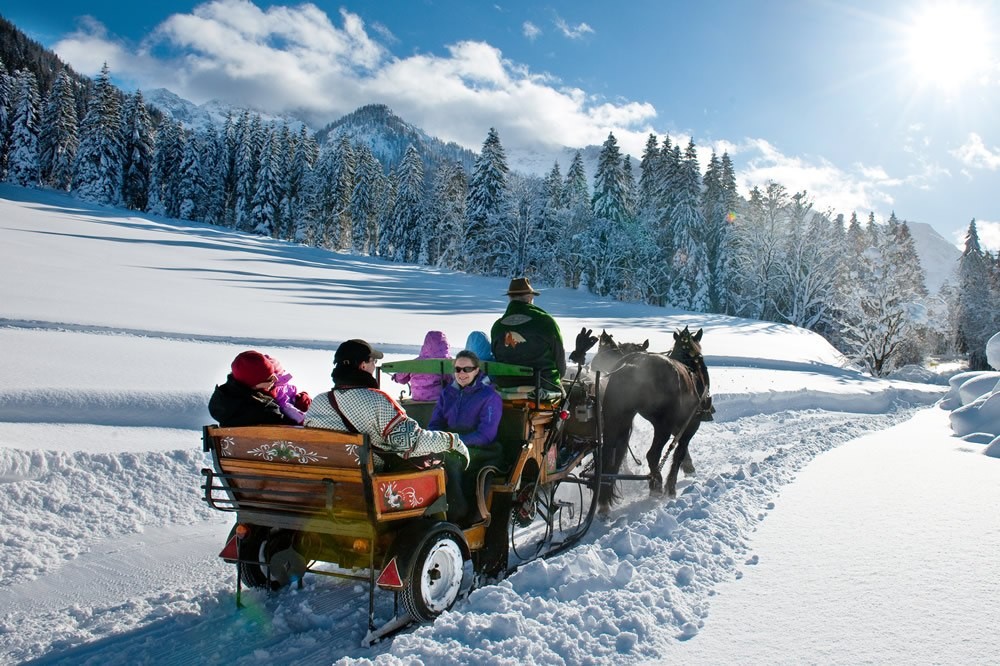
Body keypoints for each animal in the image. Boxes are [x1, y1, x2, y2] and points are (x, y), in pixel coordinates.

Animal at [592, 328, 712, 508]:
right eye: (700, 356)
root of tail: (634, 364)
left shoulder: (679, 426)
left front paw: (688, 467)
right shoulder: (691, 424)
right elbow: (679, 453)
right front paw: (672, 487)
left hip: (616, 418)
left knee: (609, 453)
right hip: (663, 425)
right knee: (653, 455)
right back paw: (656, 484)